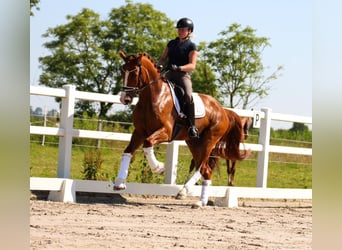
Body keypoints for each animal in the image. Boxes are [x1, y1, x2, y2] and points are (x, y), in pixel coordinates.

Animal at [115, 51, 248, 207]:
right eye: (122, 71)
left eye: (135, 72)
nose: (125, 99)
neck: (153, 97)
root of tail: (223, 110)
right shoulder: (139, 132)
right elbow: (128, 151)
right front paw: (119, 183)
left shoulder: (166, 132)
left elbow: (148, 143)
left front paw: (159, 168)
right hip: (193, 143)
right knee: (204, 169)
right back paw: (193, 197)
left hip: (209, 141)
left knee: (203, 167)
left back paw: (194, 198)